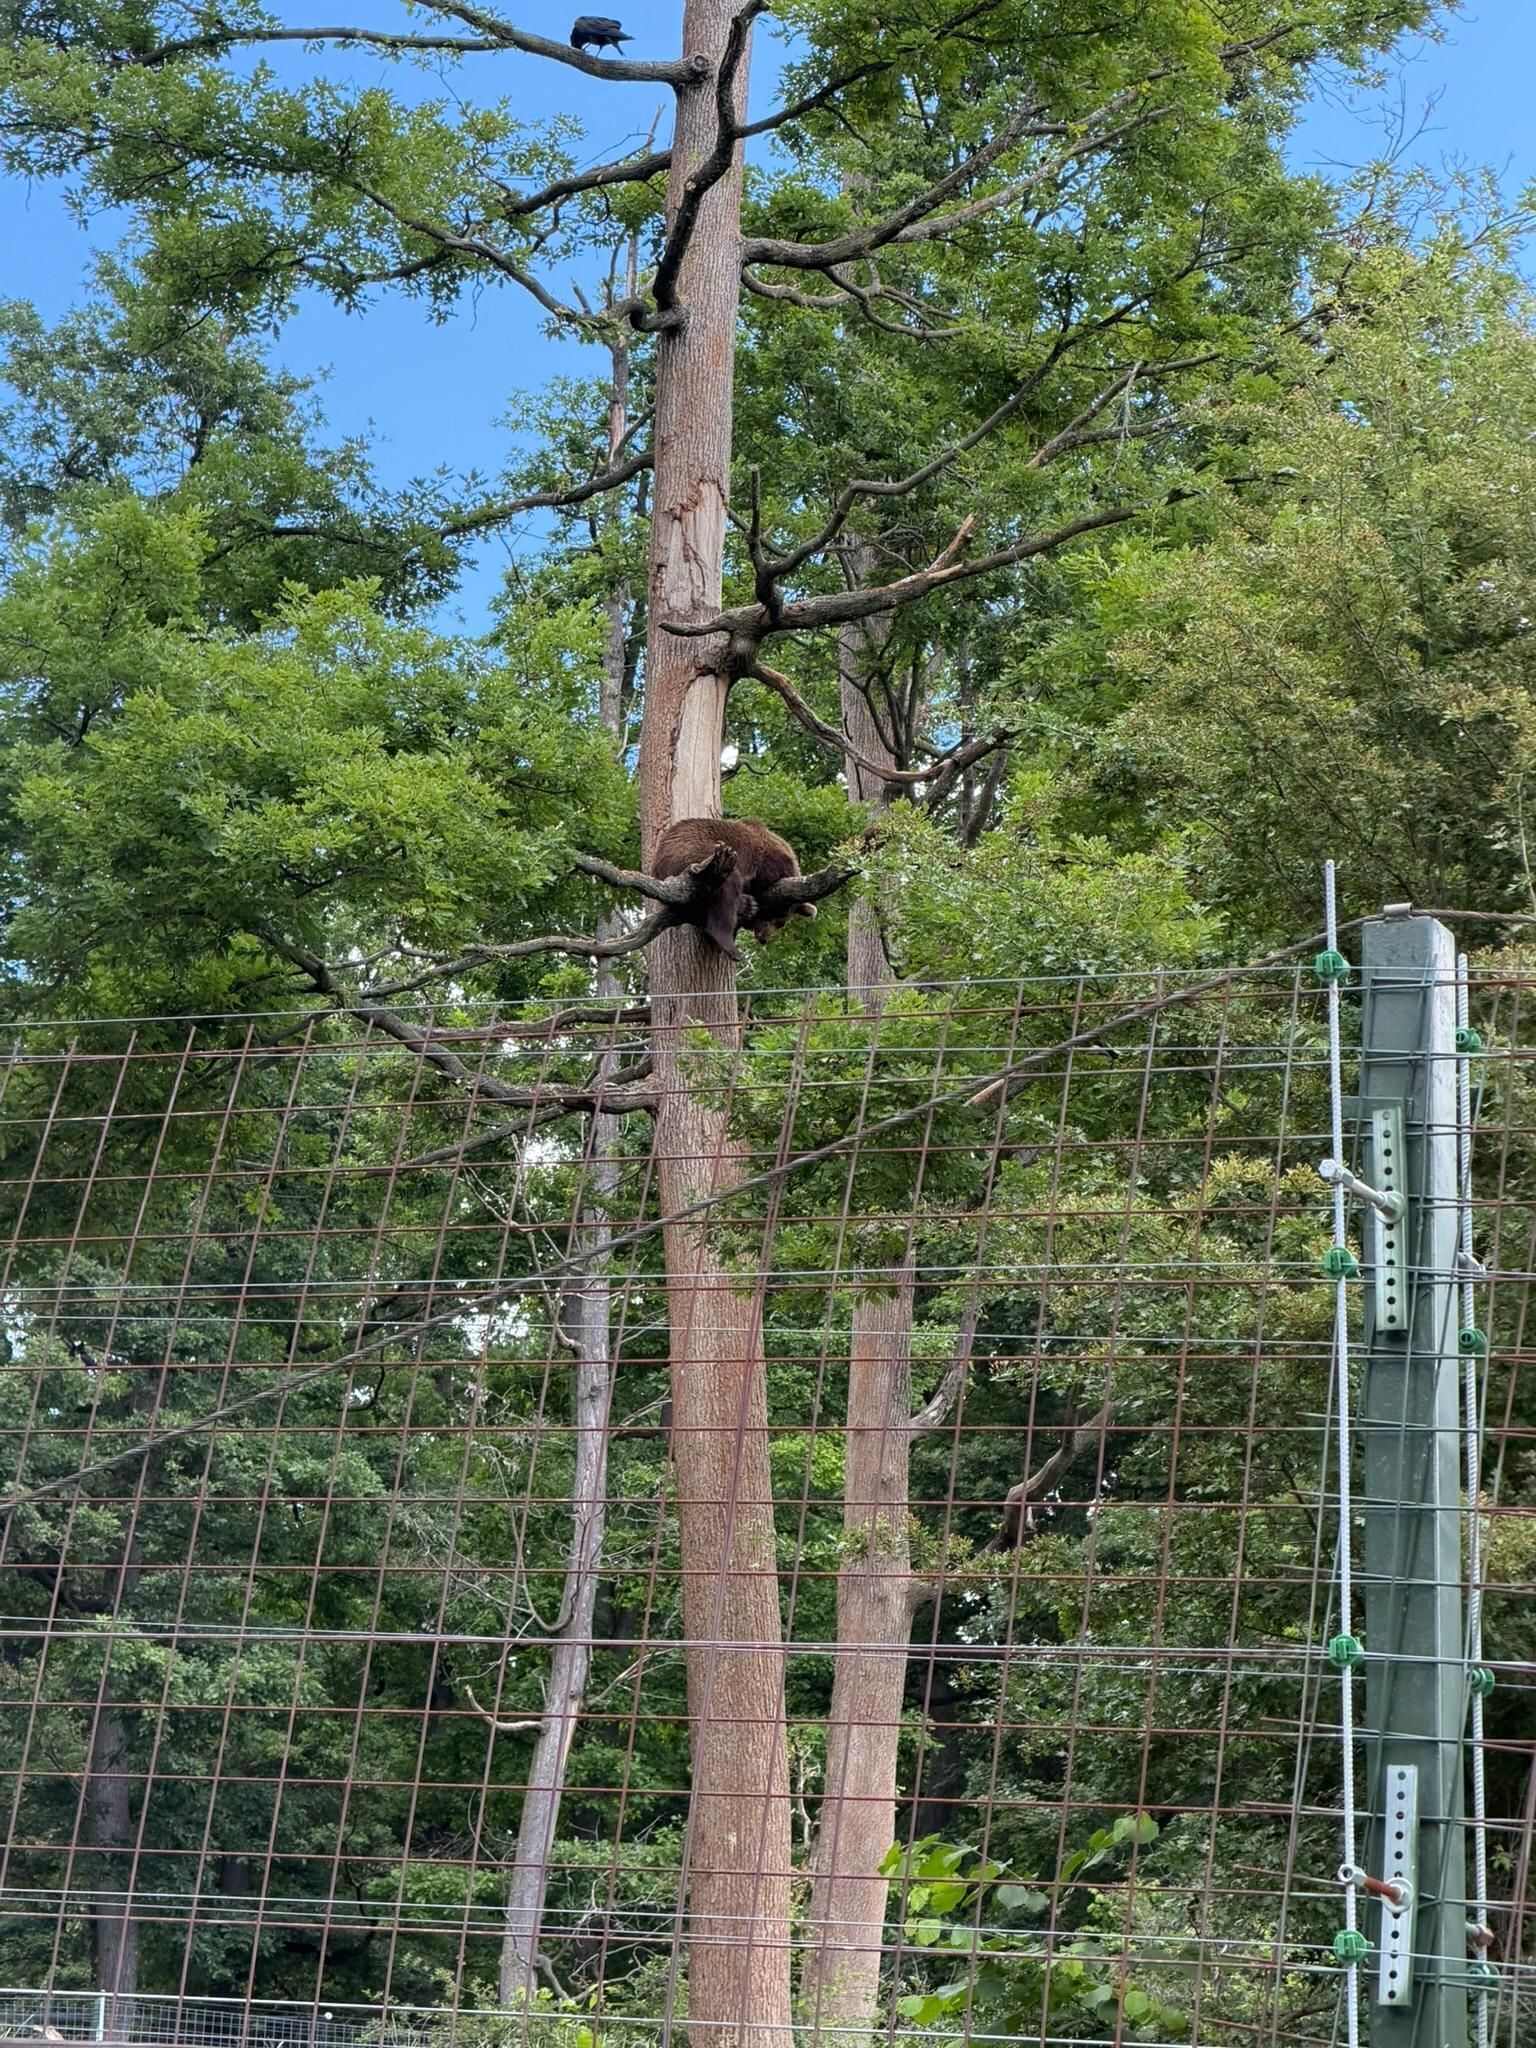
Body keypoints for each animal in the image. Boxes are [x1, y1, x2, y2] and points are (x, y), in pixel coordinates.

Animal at [650, 817, 817, 961]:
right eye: (776, 916)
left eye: (780, 924)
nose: (763, 938)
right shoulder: (764, 861)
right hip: (698, 854)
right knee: (727, 887)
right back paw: (729, 943)